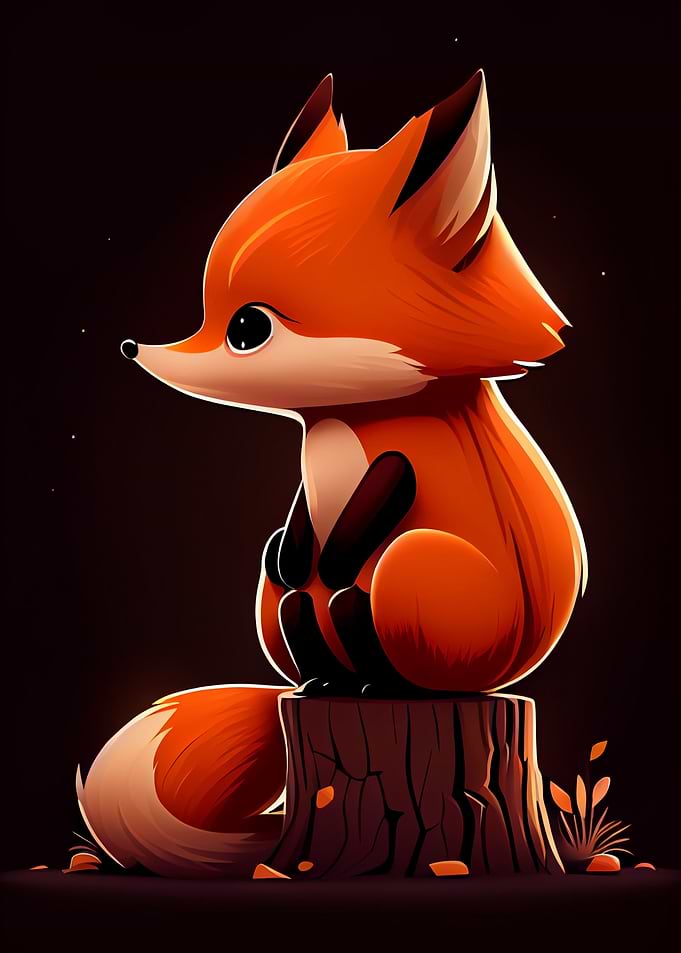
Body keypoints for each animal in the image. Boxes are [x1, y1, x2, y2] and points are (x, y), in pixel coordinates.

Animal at [77, 70, 586, 878]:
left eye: (247, 328)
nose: (132, 347)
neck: (341, 422)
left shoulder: (403, 467)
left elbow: (385, 490)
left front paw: (342, 546)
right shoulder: (304, 499)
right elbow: (297, 524)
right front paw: (299, 549)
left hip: (415, 570)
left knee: (365, 613)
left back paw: (376, 673)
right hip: (271, 607)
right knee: (294, 608)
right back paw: (324, 673)